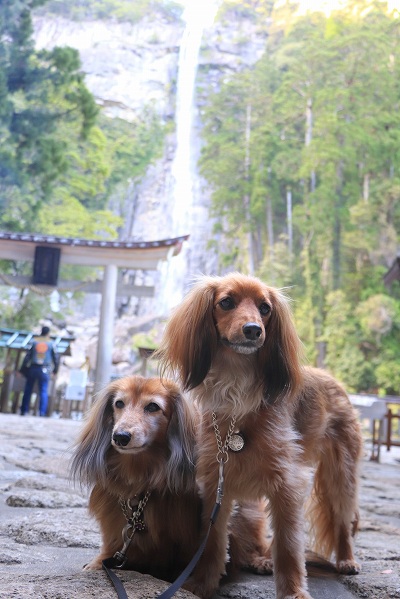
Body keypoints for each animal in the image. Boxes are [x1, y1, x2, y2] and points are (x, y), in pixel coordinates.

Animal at [156, 274, 362, 599]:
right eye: (226, 302)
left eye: (265, 308)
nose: (254, 330)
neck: (236, 392)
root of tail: (333, 378)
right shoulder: (217, 481)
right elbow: (213, 541)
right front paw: (201, 584)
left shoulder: (287, 483)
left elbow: (288, 546)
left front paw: (293, 592)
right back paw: (262, 559)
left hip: (341, 475)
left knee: (343, 519)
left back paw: (346, 559)